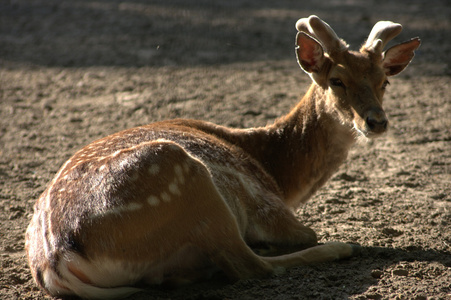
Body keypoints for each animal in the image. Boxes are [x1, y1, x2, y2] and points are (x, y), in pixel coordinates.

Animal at [23, 15, 420, 298]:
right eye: (337, 80)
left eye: (384, 80)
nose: (376, 121)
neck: (276, 171)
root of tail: (56, 262)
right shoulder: (266, 206)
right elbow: (303, 233)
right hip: (188, 181)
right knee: (251, 266)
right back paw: (340, 247)